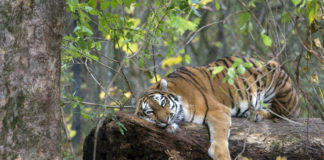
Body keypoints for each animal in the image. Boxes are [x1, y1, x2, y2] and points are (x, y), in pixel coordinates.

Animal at [134, 56, 298, 160]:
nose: (165, 120)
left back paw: (256, 113)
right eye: (150, 112)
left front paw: (221, 156)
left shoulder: (217, 110)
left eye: (162, 103)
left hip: (276, 76)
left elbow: (220, 135)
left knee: (281, 113)